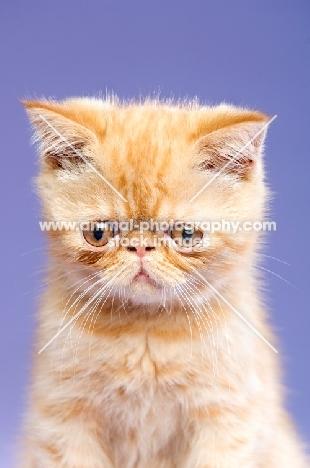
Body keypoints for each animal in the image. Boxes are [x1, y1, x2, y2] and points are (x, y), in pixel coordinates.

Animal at [21, 97, 308, 466]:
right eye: (98, 233)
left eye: (185, 234)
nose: (141, 247)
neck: (147, 331)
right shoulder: (62, 416)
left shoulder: (228, 419)